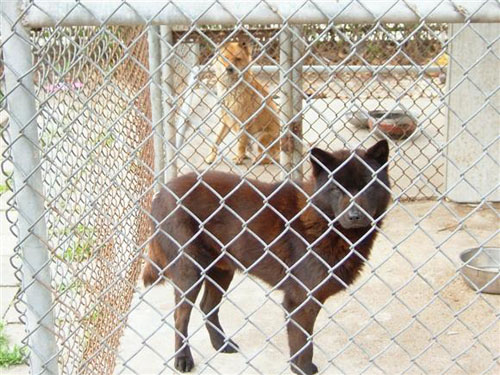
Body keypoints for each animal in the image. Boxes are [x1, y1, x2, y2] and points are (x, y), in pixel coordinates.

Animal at [144, 141, 390, 375]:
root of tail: (161, 193)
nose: (355, 216)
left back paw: (221, 344)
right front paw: (302, 369)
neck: (324, 222)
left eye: (369, 186)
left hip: (221, 270)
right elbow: (303, 344)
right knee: (180, 317)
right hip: (190, 271)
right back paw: (183, 359)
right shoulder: (300, 300)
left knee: (207, 307)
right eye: (336, 189)